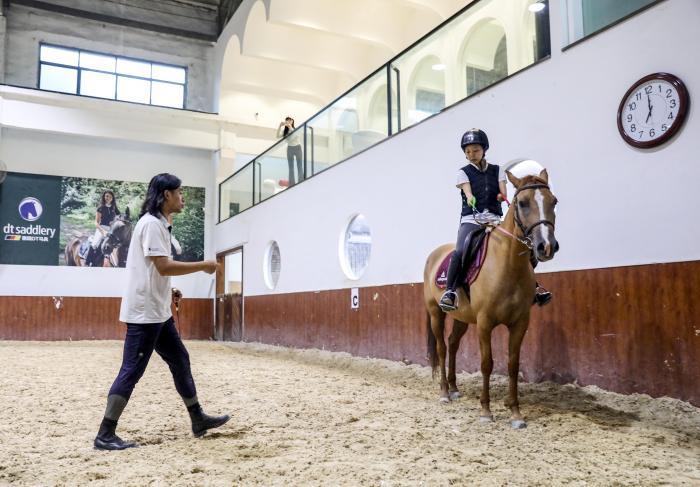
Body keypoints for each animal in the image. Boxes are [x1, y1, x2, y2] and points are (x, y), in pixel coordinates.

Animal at [424, 170, 560, 428]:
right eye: (522, 203)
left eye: (554, 201)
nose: (546, 247)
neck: (508, 265)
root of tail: (434, 255)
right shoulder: (485, 323)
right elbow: (487, 364)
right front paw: (486, 411)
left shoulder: (520, 323)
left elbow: (513, 365)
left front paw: (515, 413)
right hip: (436, 313)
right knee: (442, 348)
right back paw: (445, 392)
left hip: (462, 317)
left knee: (453, 344)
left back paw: (454, 388)